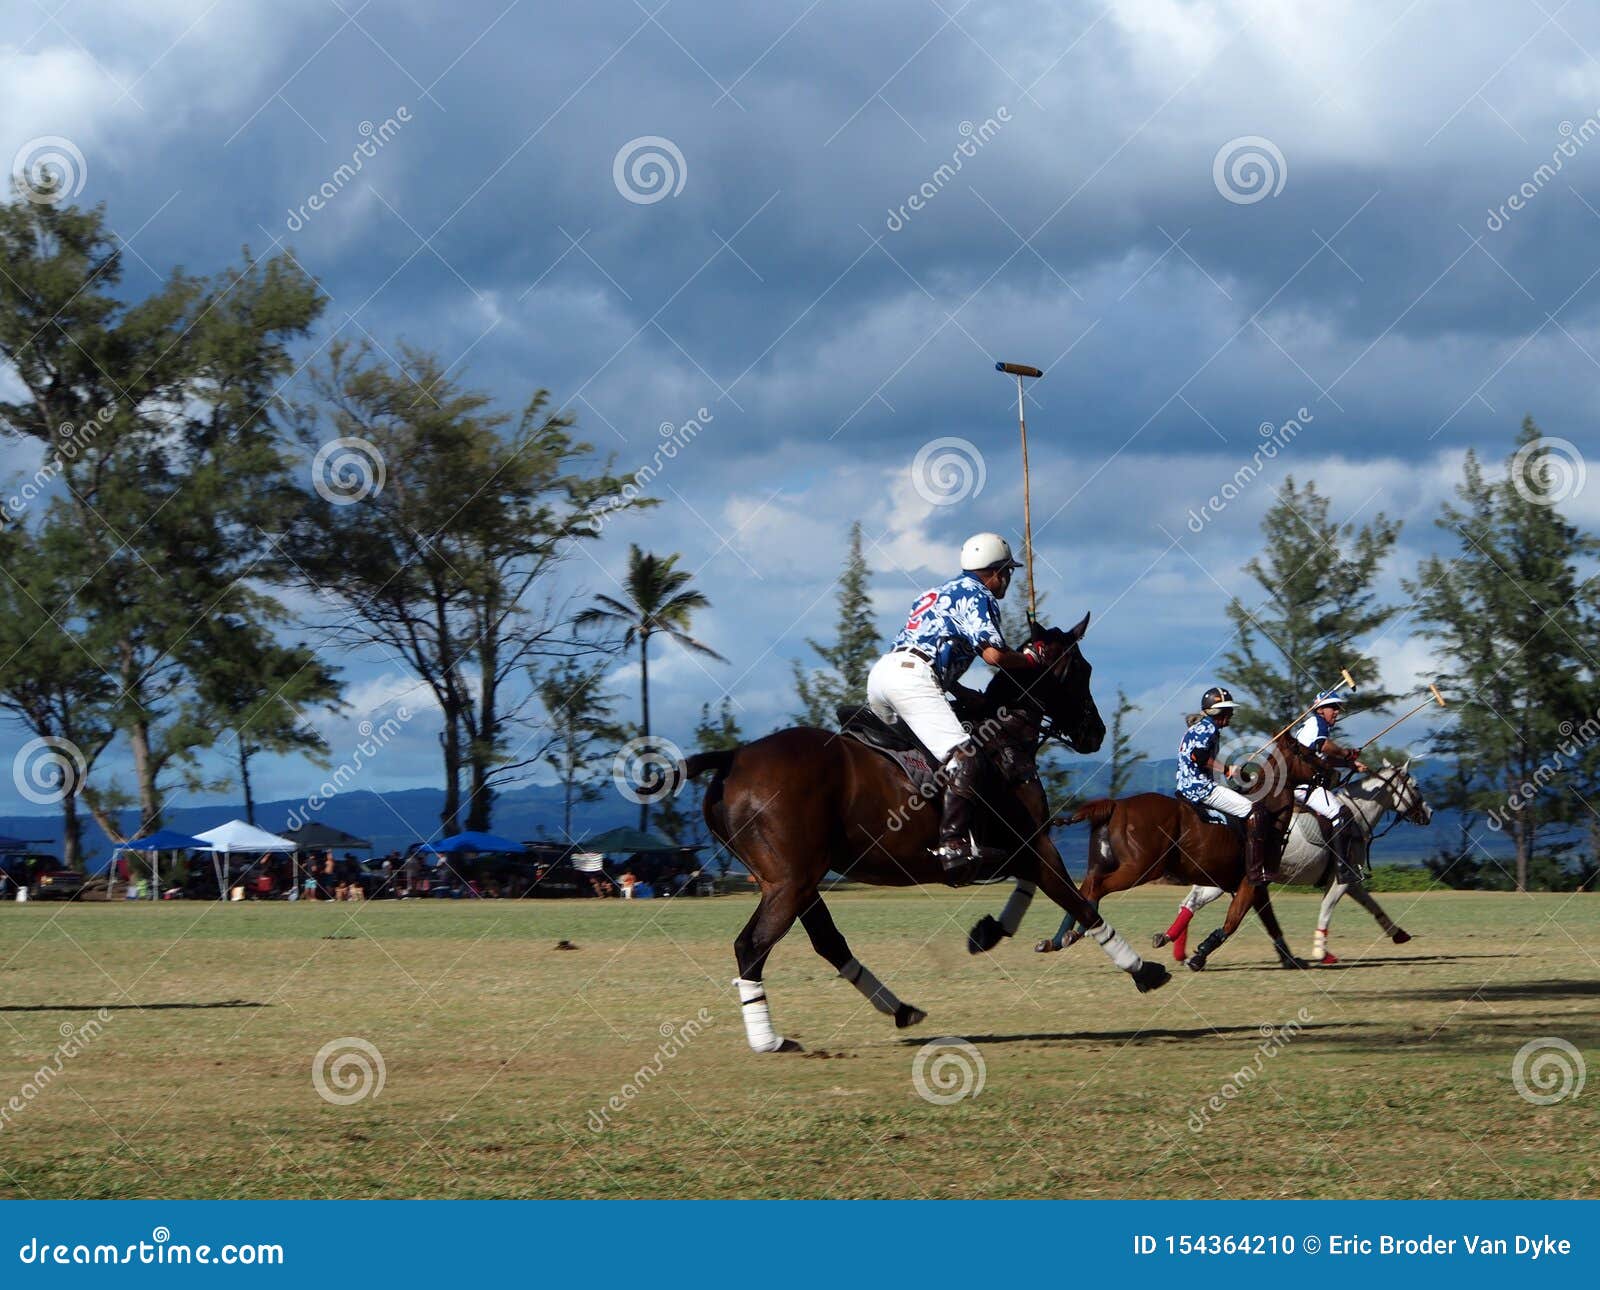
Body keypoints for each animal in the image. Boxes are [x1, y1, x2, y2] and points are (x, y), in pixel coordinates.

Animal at [668, 620, 1171, 1056]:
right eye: (1082, 670)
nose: (1095, 732)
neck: (1004, 739)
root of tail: (734, 756)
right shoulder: (1032, 846)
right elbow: (1082, 904)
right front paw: (1144, 971)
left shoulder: (1021, 848)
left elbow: (1035, 891)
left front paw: (988, 932)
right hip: (789, 881)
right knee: (751, 946)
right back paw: (768, 1040)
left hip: (794, 880)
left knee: (827, 943)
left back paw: (901, 1009)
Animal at [1036, 736, 1324, 973]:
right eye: (1306, 752)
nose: (1327, 773)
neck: (1269, 814)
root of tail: (1116, 804)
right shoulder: (1252, 882)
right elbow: (1233, 922)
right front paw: (1198, 956)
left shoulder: (1249, 885)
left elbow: (1270, 923)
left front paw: (1292, 959)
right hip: (1140, 869)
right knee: (1096, 887)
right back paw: (1073, 936)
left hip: (1104, 863)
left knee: (1083, 889)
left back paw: (1056, 940)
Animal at [1158, 761, 1433, 966]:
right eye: (1416, 786)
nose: (1429, 814)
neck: (1356, 814)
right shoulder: (1341, 878)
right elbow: (1327, 909)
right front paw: (1322, 952)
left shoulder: (1350, 879)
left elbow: (1373, 905)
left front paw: (1399, 933)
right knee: (1193, 902)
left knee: (1190, 901)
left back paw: (1173, 944)